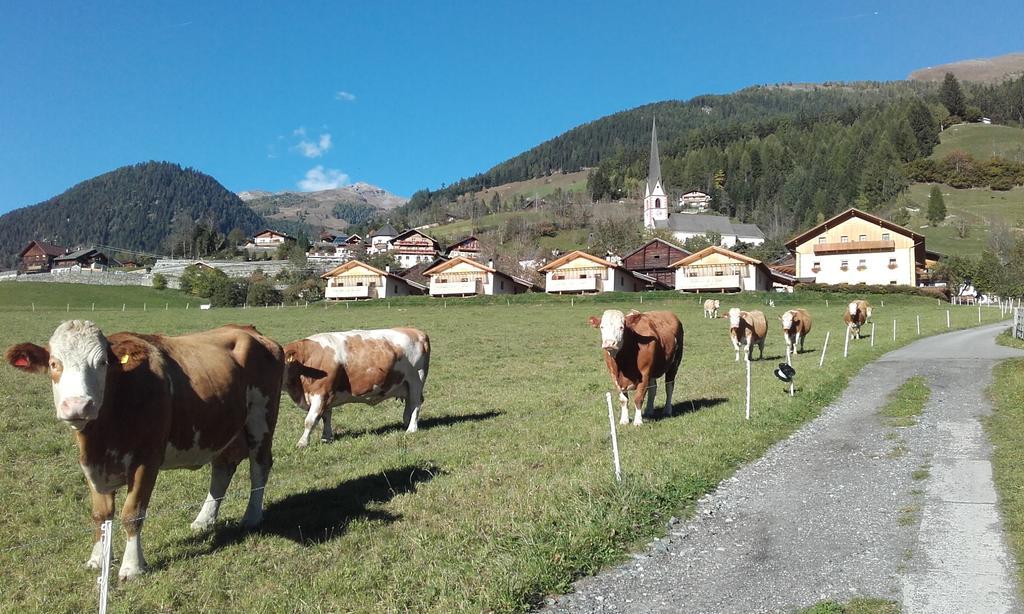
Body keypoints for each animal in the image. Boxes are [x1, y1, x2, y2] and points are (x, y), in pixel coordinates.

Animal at [4, 321, 284, 581]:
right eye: (54, 363)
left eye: (103, 363)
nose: (78, 406)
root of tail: (247, 329)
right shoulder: (91, 464)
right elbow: (101, 515)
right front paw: (98, 559)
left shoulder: (147, 460)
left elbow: (132, 514)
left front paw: (132, 566)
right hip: (223, 426)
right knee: (223, 468)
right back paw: (203, 520)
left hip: (261, 419)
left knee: (260, 466)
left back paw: (252, 516)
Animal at [282, 329, 430, 448]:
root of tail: (416, 331)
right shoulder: (328, 393)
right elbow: (326, 417)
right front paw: (326, 437)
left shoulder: (321, 393)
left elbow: (310, 420)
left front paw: (302, 443)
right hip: (406, 384)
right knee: (410, 402)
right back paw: (406, 421)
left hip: (417, 379)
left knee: (416, 403)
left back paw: (411, 428)